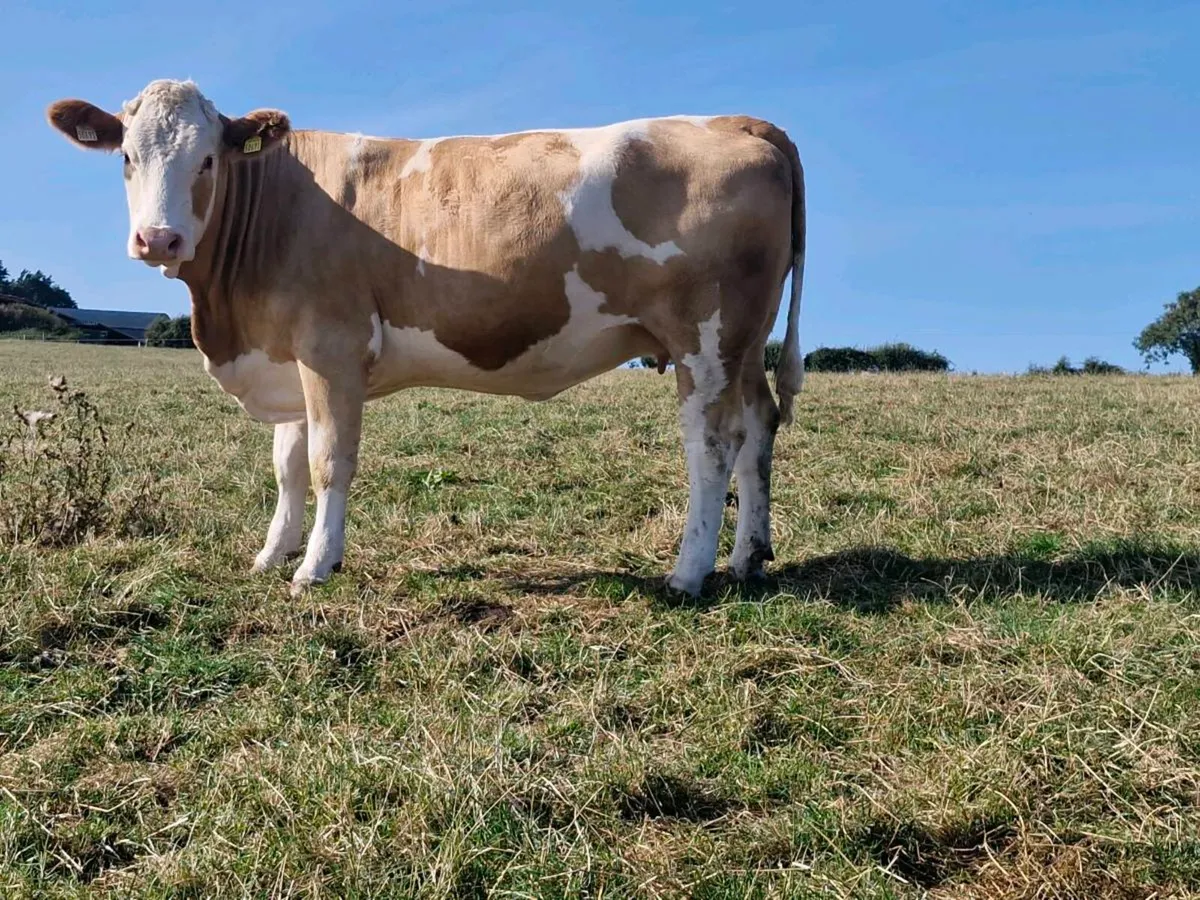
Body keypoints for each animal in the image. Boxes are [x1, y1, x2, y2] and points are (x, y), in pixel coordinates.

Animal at [46, 79, 805, 597]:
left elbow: (328, 462)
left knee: (712, 447)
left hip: (704, 339)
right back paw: (748, 555)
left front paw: (316, 565)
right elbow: (287, 465)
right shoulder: (287, 356)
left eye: (207, 161)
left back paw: (688, 571)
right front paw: (272, 553)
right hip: (743, 342)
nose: (158, 239)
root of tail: (741, 120)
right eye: (126, 158)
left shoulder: (331, 349)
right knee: (758, 426)